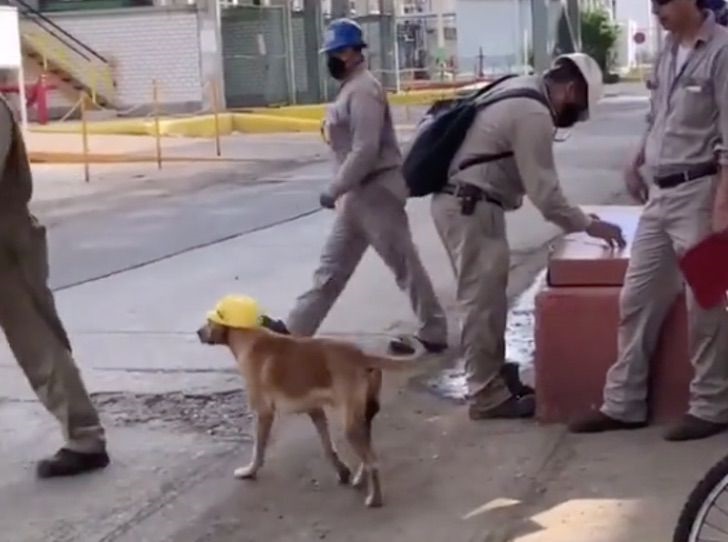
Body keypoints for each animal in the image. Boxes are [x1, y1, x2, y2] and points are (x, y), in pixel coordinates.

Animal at [196, 318, 420, 510]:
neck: (247, 337)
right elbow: (328, 447)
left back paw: (375, 498)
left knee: (373, 461)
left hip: (351, 425)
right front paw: (342, 471)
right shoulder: (315, 411)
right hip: (362, 418)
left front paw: (250, 471)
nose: (198, 332)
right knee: (368, 456)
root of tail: (361, 355)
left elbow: (258, 449)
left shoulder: (263, 412)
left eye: (209, 321)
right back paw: (360, 479)